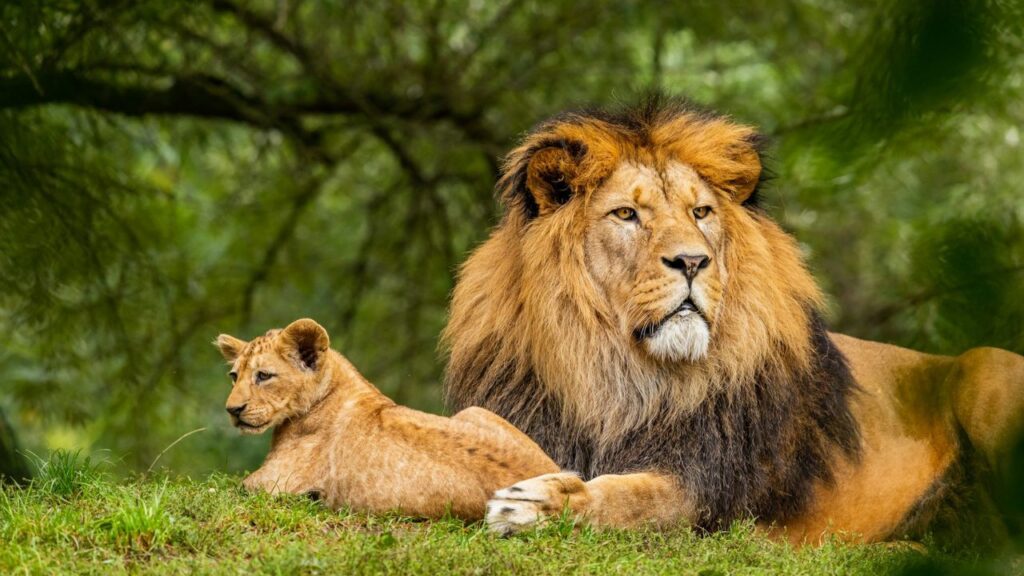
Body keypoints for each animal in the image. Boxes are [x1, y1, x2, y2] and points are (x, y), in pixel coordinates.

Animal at [215, 318, 558, 518]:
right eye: (234, 376)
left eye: (264, 376)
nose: (232, 410)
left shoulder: (272, 482)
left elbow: (228, 489)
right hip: (473, 410)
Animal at [442, 96, 1024, 544]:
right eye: (627, 214)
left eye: (700, 213)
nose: (692, 261)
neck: (619, 376)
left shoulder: (709, 488)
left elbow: (631, 497)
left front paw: (539, 504)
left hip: (984, 368)